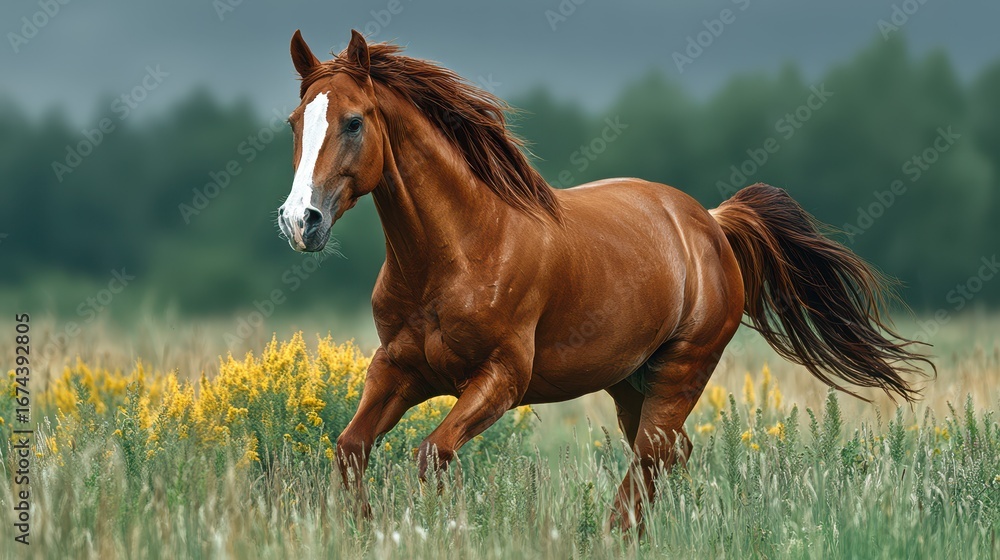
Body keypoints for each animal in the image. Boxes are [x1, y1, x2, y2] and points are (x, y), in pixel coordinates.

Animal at [276, 29, 933, 531]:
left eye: (354, 122)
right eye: (294, 123)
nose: (300, 221)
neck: (460, 250)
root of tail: (711, 223)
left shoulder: (500, 379)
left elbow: (432, 453)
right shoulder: (400, 369)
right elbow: (351, 450)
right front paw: (366, 530)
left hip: (681, 371)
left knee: (652, 455)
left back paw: (617, 533)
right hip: (629, 383)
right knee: (670, 454)